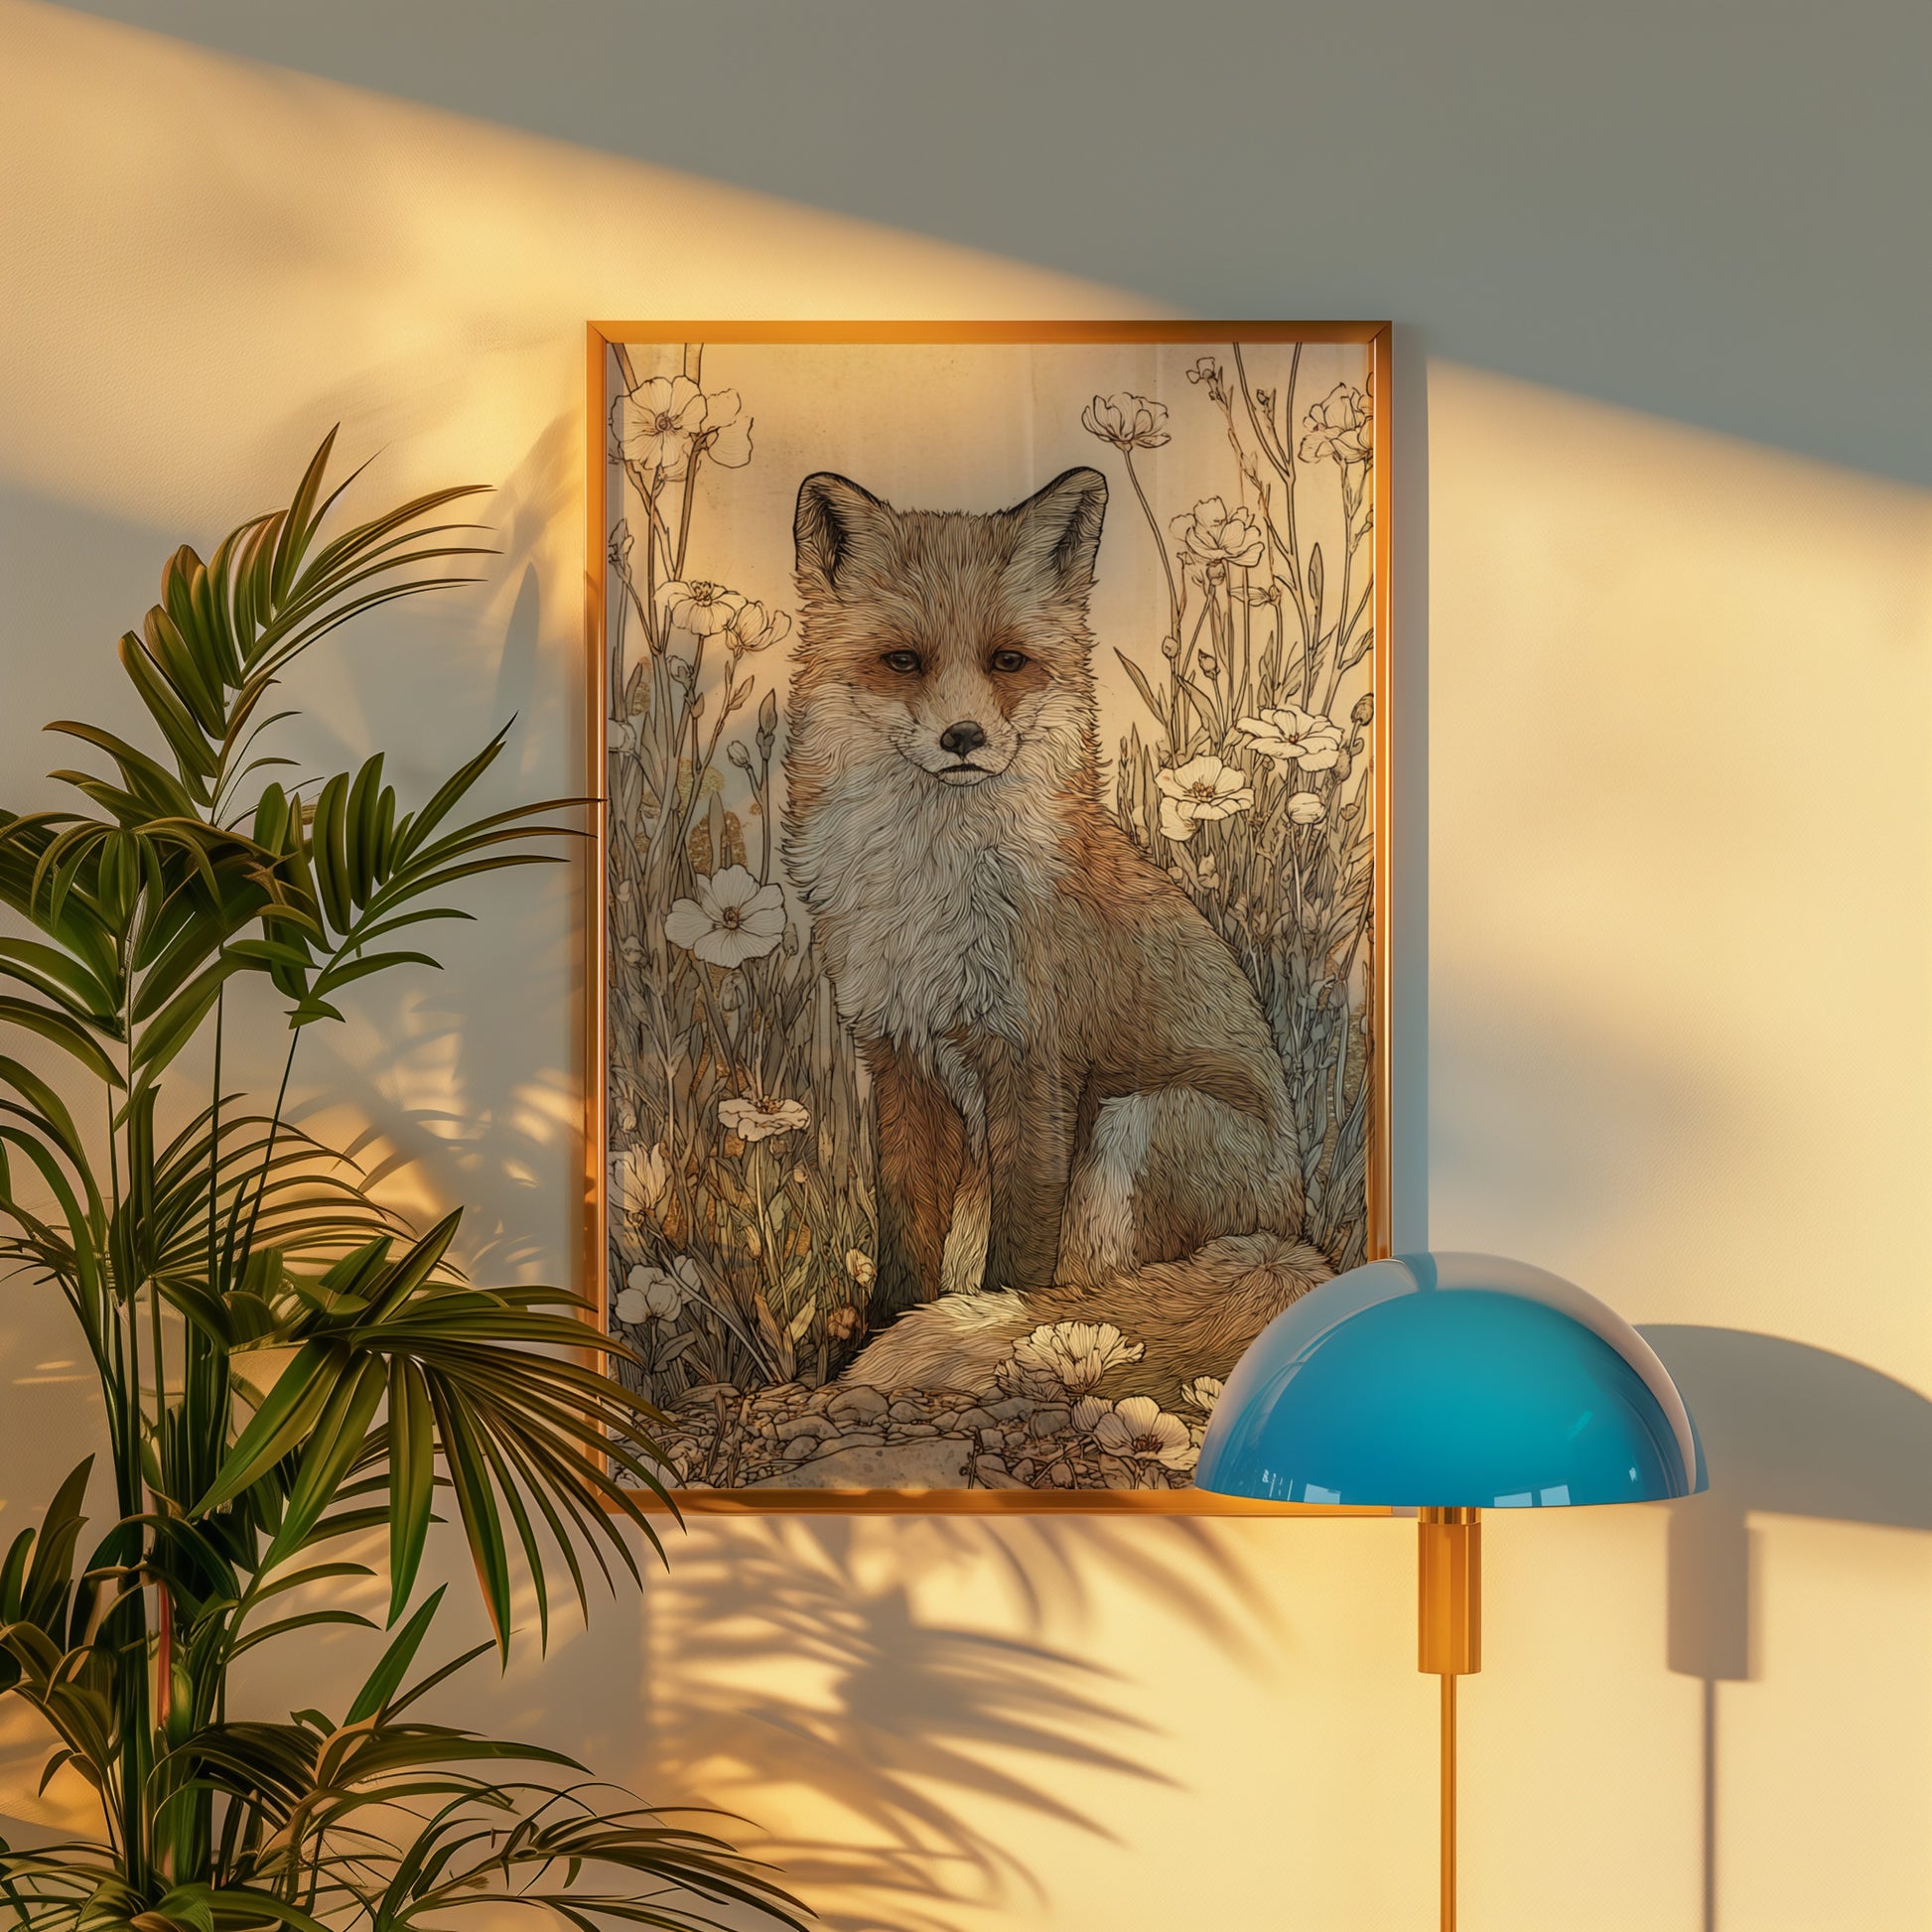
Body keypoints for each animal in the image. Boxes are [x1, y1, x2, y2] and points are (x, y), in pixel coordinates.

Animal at [781, 465, 1330, 1394]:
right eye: (903, 661)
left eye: (1008, 661)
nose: (963, 737)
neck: (932, 890)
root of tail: (1288, 1236)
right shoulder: (898, 1057)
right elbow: (903, 1239)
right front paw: (876, 1341)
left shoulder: (1034, 1060)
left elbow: (1023, 1256)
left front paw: (1002, 1339)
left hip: (1134, 1120)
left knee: (1103, 1293)